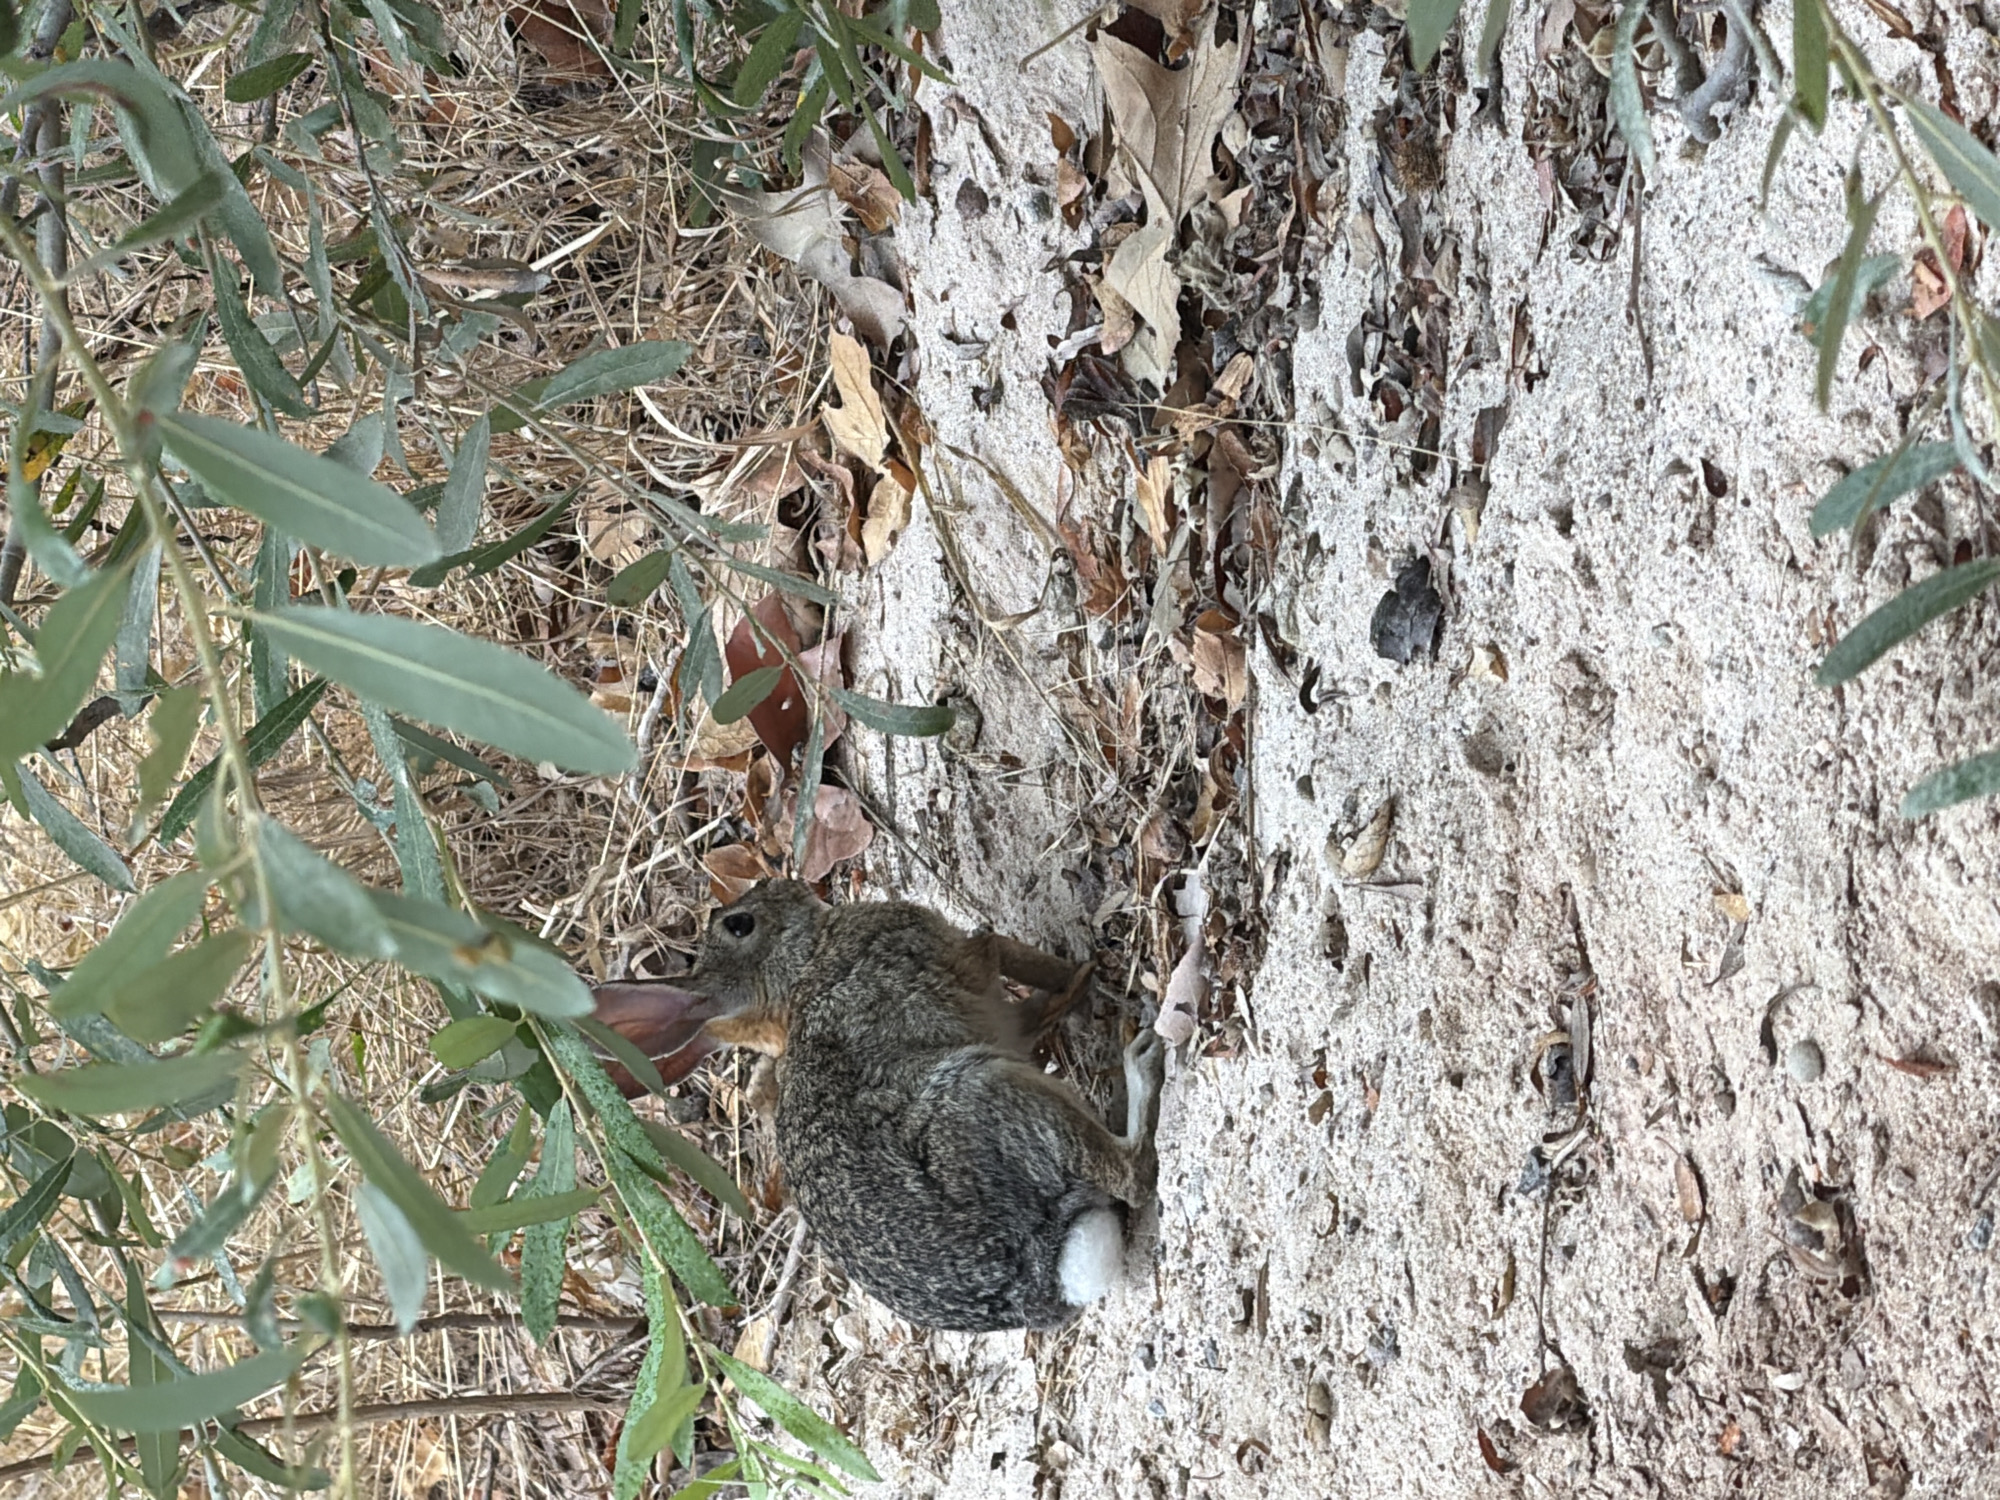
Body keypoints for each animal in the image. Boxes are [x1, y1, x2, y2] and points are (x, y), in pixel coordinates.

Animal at [592, 878, 1166, 1332]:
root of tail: (1040, 1274)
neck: (802, 972)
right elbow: (1008, 956)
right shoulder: (952, 956)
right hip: (984, 1090)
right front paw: (1086, 972)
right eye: (741, 925)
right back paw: (1141, 1059)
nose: (782, 882)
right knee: (1134, 1174)